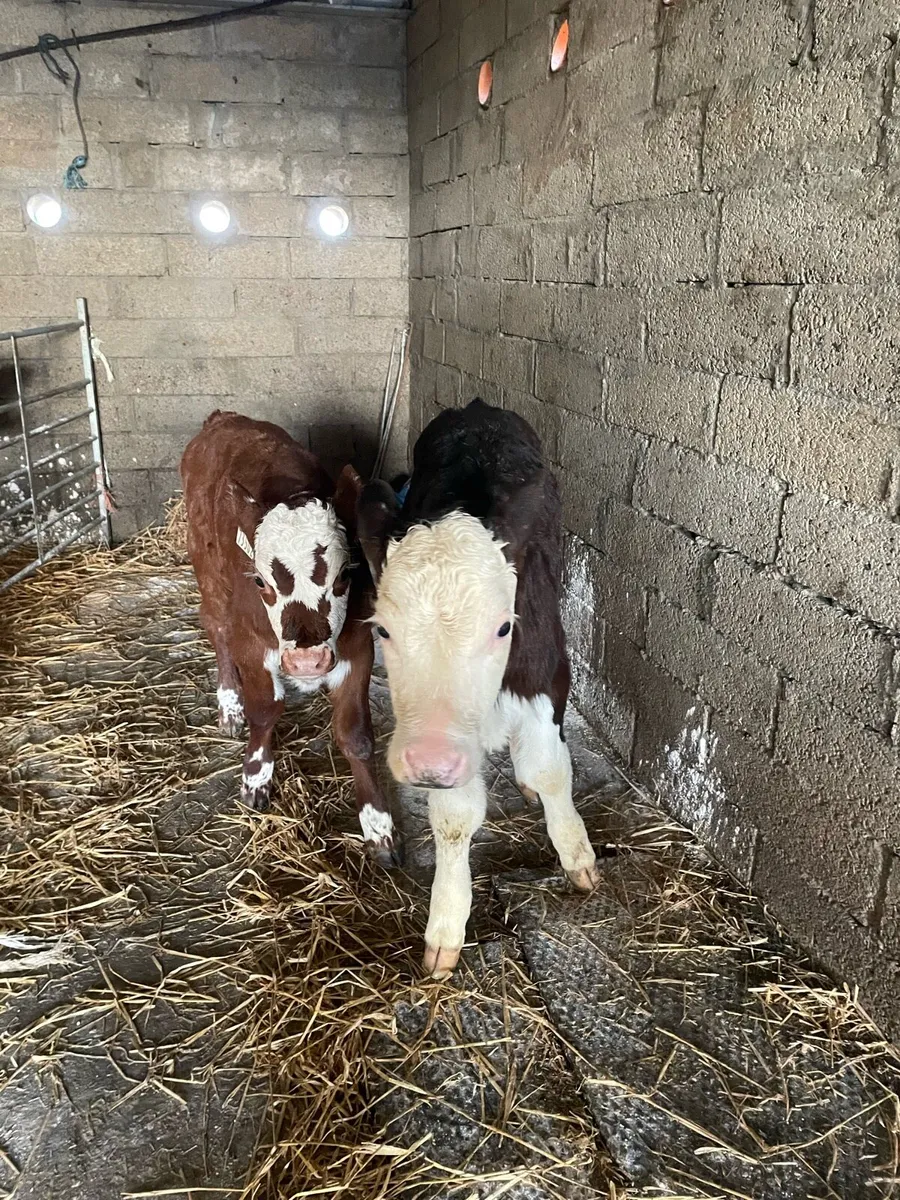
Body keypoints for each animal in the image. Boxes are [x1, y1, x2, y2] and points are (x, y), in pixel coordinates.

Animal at [180, 410, 399, 867]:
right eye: (261, 582)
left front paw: (378, 824)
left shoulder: (356, 646)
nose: (306, 663)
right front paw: (256, 776)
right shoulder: (251, 641)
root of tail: (224, 419)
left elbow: (356, 736)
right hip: (206, 568)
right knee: (215, 625)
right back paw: (229, 704)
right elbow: (265, 711)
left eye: (345, 575)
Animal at [356, 398, 600, 978]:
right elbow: (454, 819)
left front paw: (575, 852)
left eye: (504, 628)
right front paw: (447, 924)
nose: (429, 762)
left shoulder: (545, 673)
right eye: (383, 630)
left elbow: (551, 770)